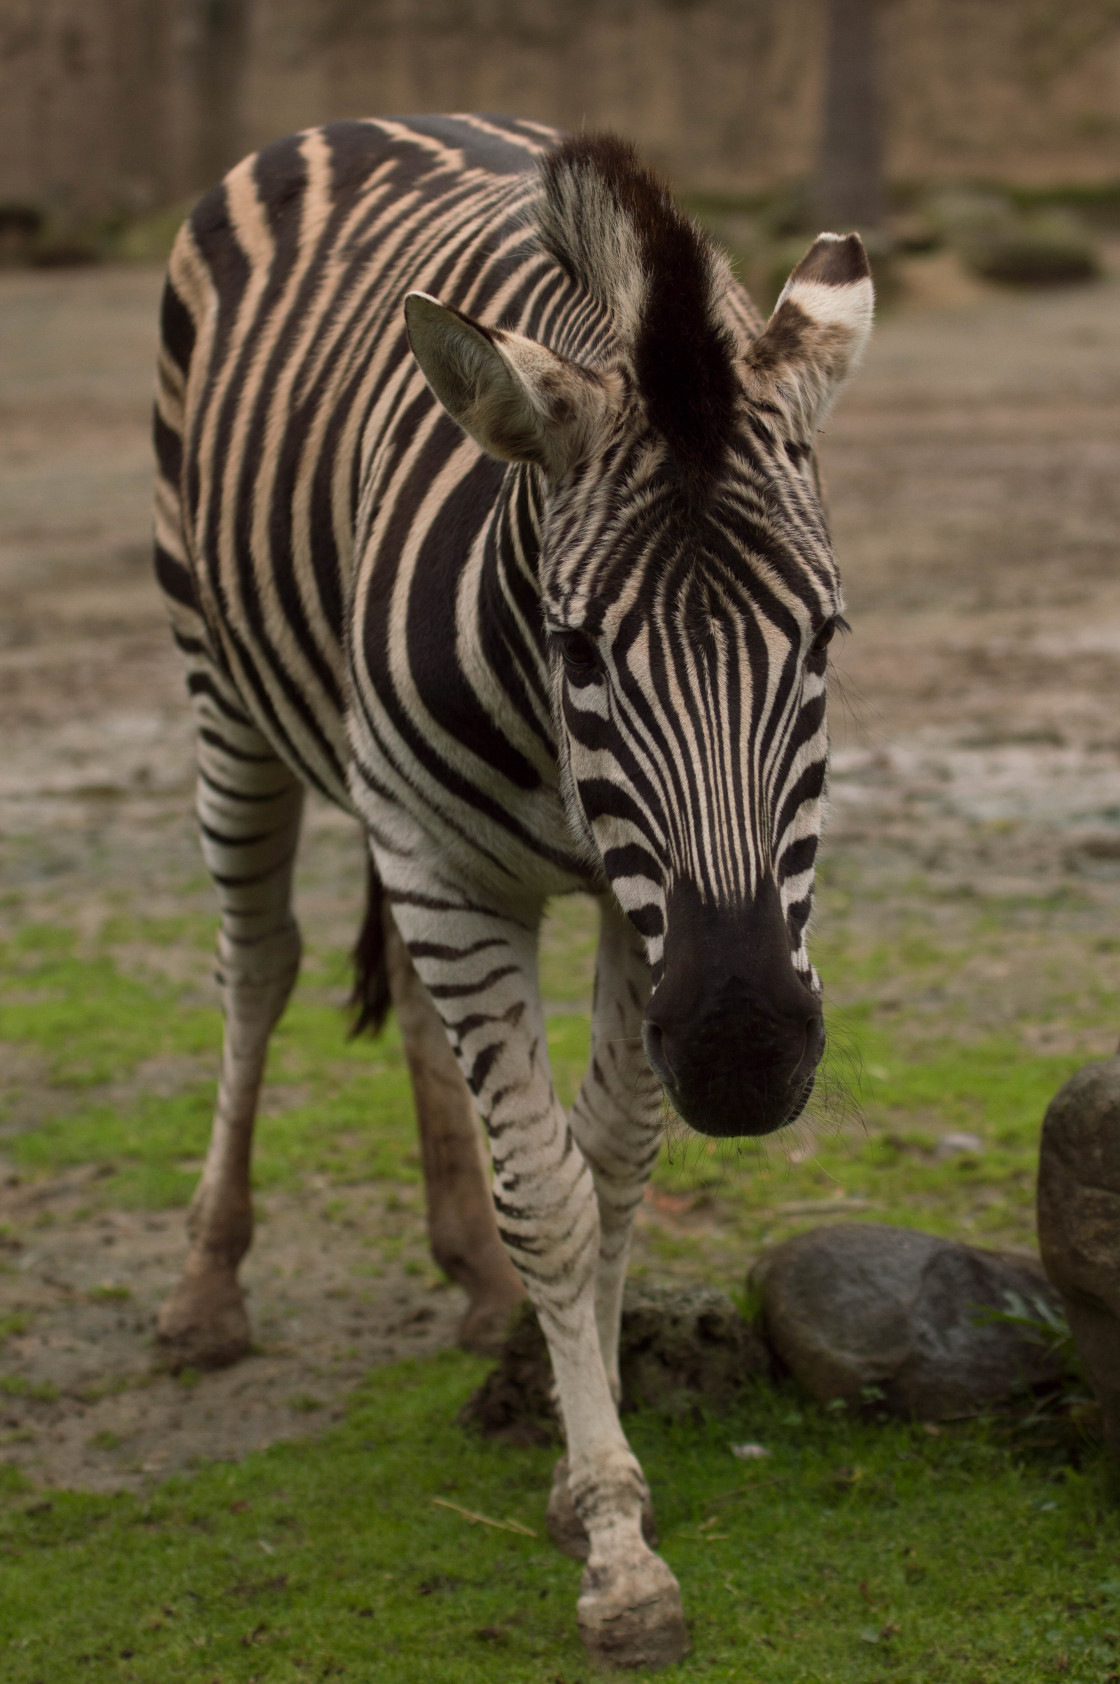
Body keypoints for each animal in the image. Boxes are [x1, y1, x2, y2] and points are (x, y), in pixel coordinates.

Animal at [150, 111, 862, 1663]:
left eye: (825, 640)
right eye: (580, 646)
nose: (746, 1056)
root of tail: (360, 118)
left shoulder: (633, 910)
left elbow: (616, 1163)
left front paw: (565, 1436)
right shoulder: (445, 859)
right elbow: (550, 1188)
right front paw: (616, 1544)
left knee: (412, 1015)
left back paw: (473, 1279)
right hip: (224, 692)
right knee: (258, 966)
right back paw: (205, 1290)